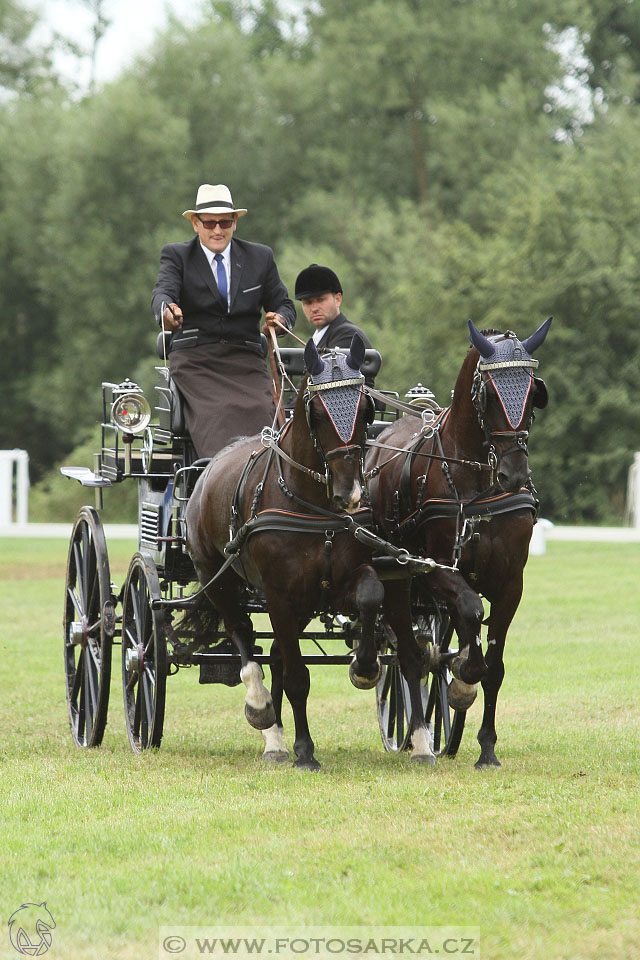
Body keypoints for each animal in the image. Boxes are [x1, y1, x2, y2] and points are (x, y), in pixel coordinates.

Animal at [184, 334, 464, 768]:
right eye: (315, 411)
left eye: (366, 409)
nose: (349, 492)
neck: (313, 505)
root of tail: (209, 468)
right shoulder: (278, 594)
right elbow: (298, 677)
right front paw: (304, 751)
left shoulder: (341, 580)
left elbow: (371, 597)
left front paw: (365, 667)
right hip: (219, 579)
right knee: (243, 635)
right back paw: (264, 716)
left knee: (279, 654)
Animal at [368, 318, 552, 768]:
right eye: (488, 394)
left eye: (532, 390)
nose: (514, 474)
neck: (477, 477)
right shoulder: (437, 569)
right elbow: (470, 612)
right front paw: (464, 678)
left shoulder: (511, 583)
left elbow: (495, 664)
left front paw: (486, 747)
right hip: (398, 577)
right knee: (409, 655)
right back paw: (420, 740)